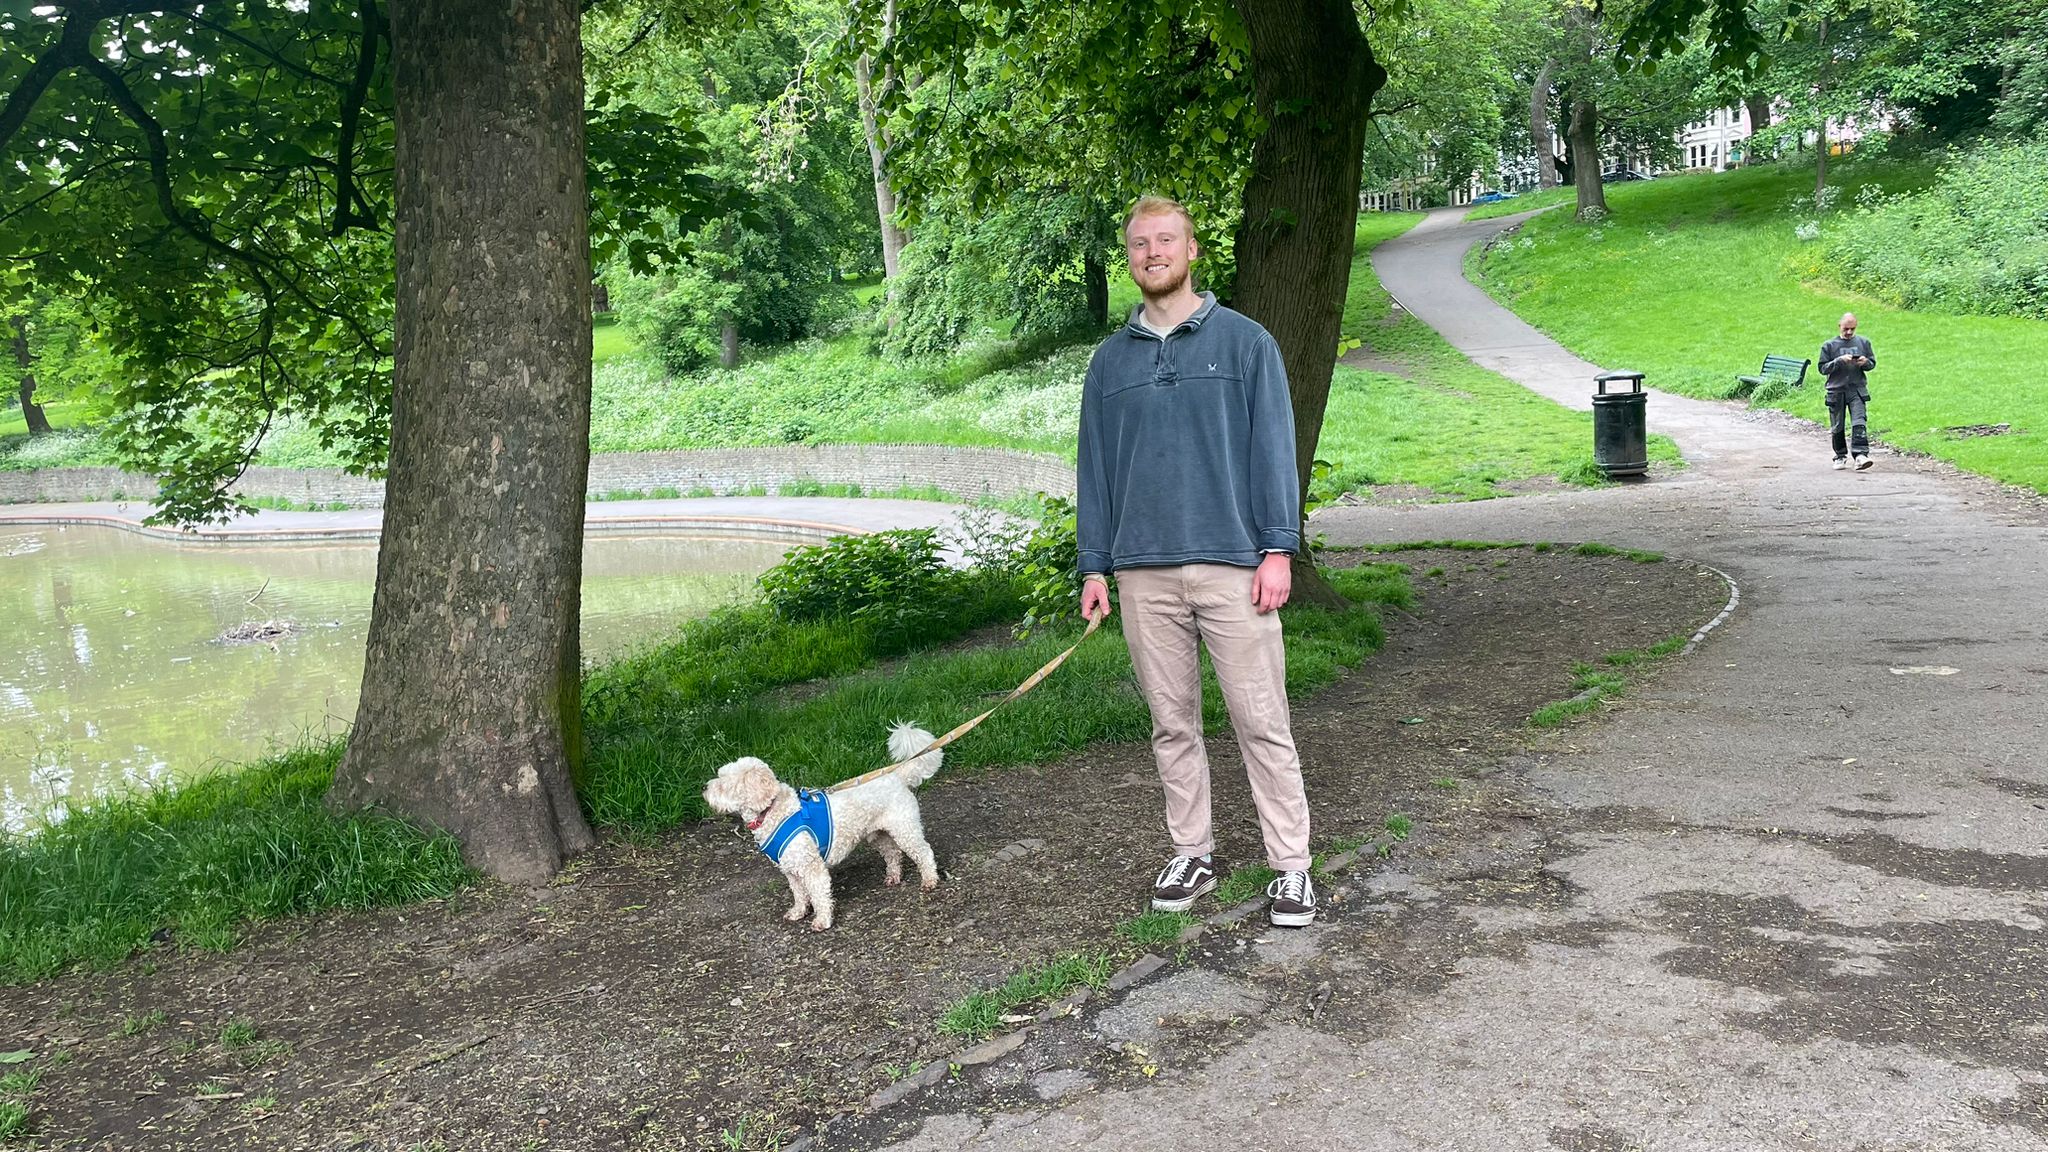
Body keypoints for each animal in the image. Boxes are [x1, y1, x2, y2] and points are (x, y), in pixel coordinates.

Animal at [704, 721, 942, 926]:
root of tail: (897, 776)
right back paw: (893, 877)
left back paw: (930, 880)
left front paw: (822, 920)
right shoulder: (791, 871)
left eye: (723, 784)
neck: (773, 811)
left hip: (905, 830)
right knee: (893, 853)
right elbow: (800, 895)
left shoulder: (812, 868)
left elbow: (819, 895)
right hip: (877, 834)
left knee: (924, 852)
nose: (704, 788)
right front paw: (798, 913)